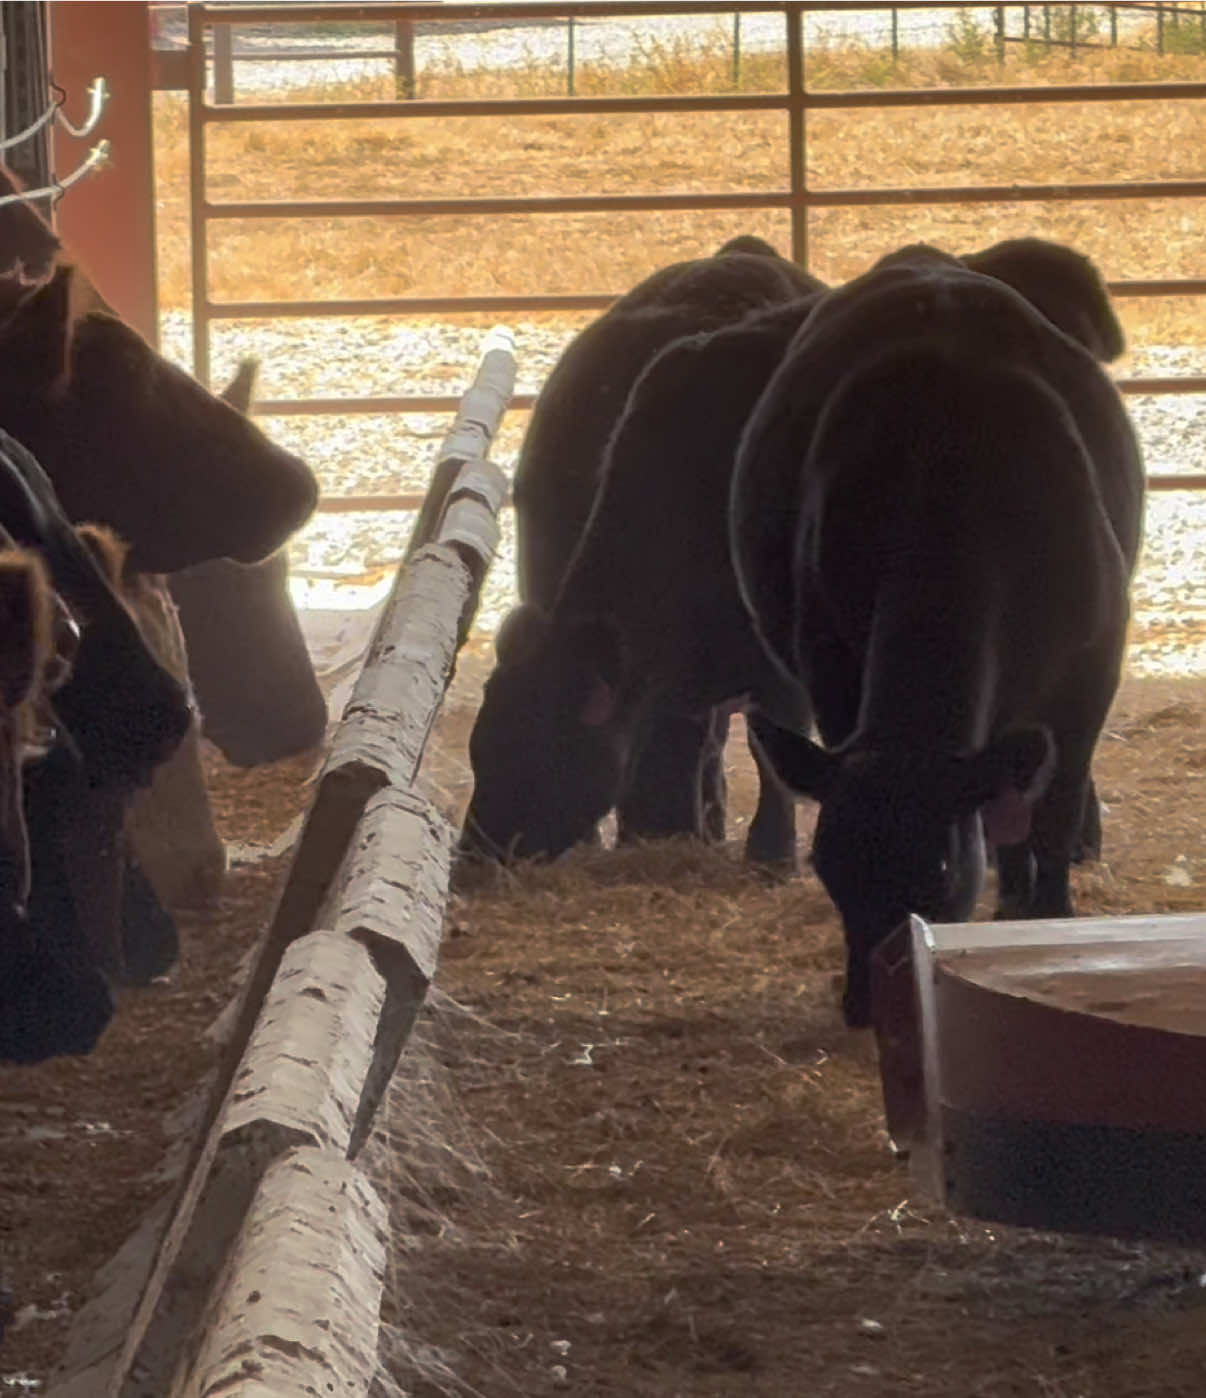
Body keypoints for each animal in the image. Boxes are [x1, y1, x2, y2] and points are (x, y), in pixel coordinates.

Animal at [460, 238, 825, 869]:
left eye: (539, 756)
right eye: (480, 750)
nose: (472, 855)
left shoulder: (784, 675)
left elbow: (770, 752)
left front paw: (770, 854)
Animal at [730, 244, 1144, 1028]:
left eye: (944, 868)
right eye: (828, 865)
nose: (871, 1003)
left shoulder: (1092, 670)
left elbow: (1055, 808)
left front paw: (1054, 919)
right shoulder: (828, 660)